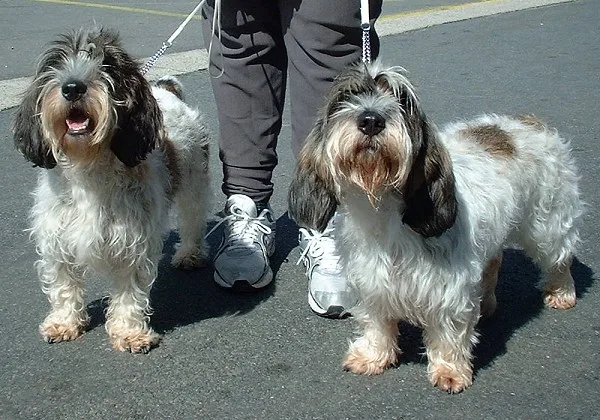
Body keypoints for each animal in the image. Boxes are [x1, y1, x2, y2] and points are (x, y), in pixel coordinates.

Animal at [11, 27, 211, 352]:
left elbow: (130, 291)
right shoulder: (56, 238)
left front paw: (130, 332)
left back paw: (190, 254)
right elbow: (64, 283)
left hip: (194, 180)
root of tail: (165, 89)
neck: (88, 167)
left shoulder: (133, 241)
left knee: (193, 219)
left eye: (106, 65)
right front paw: (64, 322)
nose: (72, 88)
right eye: (56, 65)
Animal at [288, 63, 584, 394]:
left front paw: (450, 371)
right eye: (347, 97)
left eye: (402, 101)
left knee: (560, 259)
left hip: (548, 223)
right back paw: (487, 303)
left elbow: (448, 333)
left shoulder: (450, 290)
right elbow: (376, 323)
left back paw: (561, 292)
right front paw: (373, 356)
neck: (382, 207)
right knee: (493, 260)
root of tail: (528, 122)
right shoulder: (371, 280)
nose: (371, 120)